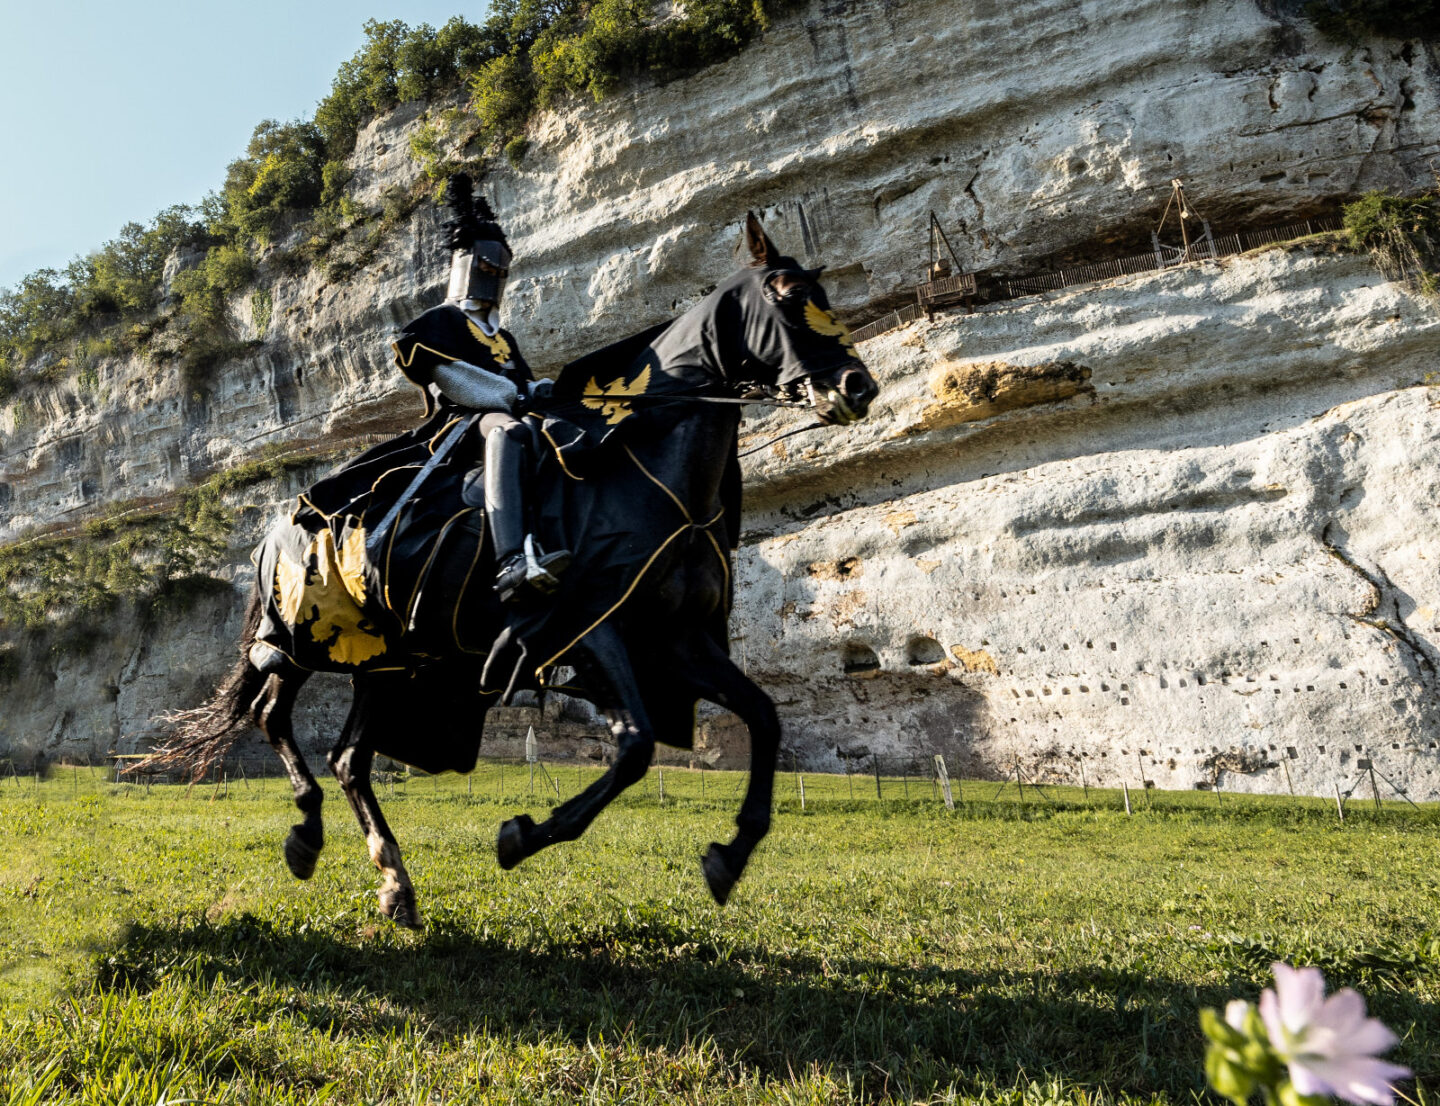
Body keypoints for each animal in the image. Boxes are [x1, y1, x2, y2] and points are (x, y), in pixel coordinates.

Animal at [151, 216, 881, 921]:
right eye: (786, 295)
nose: (858, 386)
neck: (640, 474)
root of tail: (277, 527)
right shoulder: (590, 629)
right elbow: (636, 744)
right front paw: (523, 836)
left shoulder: (675, 642)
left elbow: (762, 716)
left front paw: (731, 854)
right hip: (304, 638)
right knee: (273, 712)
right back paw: (306, 834)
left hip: (387, 663)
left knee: (350, 758)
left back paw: (394, 881)